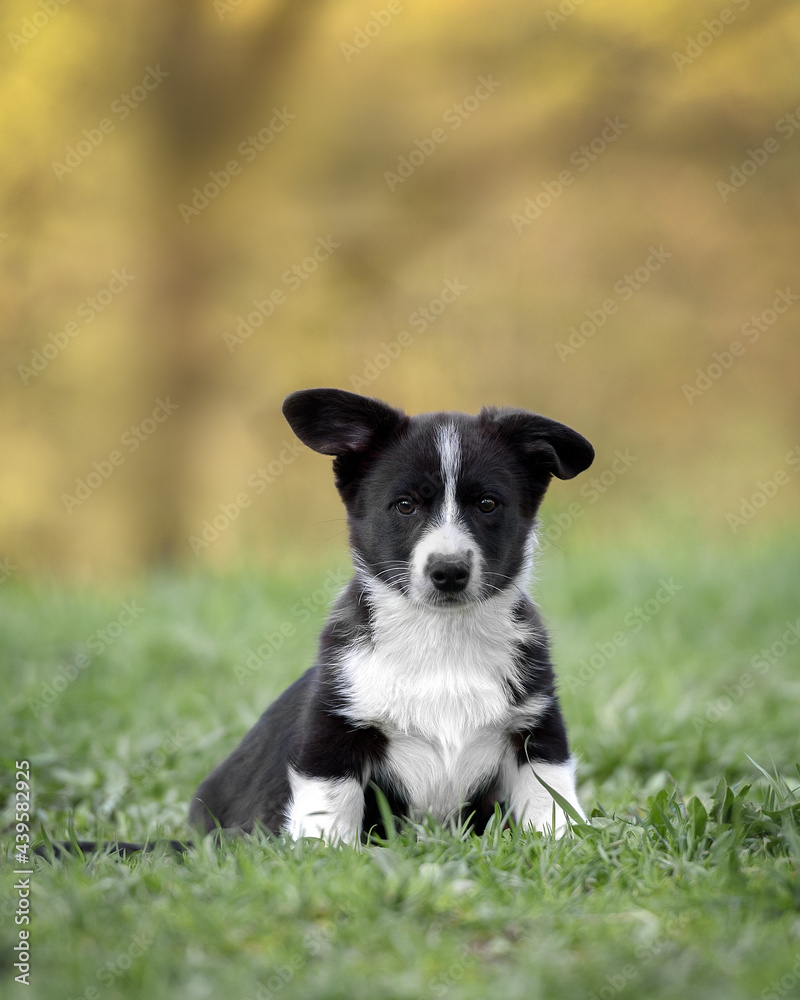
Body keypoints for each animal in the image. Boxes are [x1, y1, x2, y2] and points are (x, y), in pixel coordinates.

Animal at [191, 390, 592, 844]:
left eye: (488, 504)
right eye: (405, 505)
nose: (449, 571)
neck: (441, 636)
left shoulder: (536, 728)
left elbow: (550, 798)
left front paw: (563, 840)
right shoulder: (333, 731)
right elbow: (328, 809)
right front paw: (330, 852)